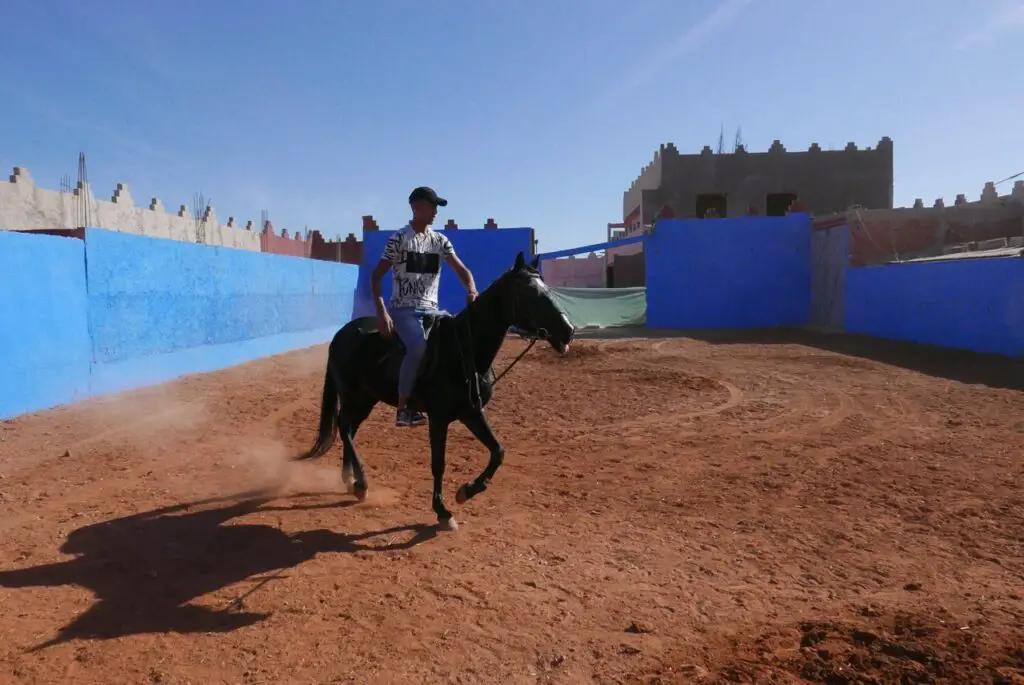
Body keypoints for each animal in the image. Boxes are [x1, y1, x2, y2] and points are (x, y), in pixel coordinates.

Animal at [296, 250, 577, 528]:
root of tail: (341, 334)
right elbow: (438, 463)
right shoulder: (439, 418)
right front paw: (442, 511)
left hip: (366, 399)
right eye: (529, 292)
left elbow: (498, 452)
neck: (464, 351)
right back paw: (361, 484)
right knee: (344, 427)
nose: (568, 330)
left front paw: (466, 491)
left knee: (349, 429)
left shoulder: (471, 413)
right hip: (353, 395)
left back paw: (349, 480)